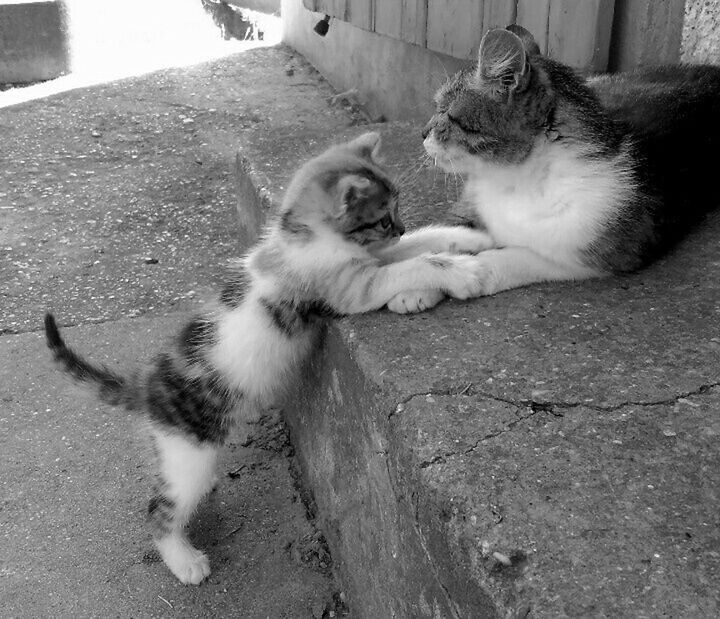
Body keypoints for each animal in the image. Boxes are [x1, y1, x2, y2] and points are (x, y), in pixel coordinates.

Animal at [45, 132, 490, 588]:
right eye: (383, 219)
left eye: (398, 211)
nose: (397, 227)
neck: (300, 236)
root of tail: (146, 381)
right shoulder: (352, 287)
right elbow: (414, 262)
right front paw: (461, 271)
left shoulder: (369, 259)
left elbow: (420, 244)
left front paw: (468, 239)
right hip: (188, 452)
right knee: (159, 510)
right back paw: (185, 560)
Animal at [390, 26, 720, 312]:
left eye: (445, 112)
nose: (422, 132)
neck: (516, 179)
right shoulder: (471, 208)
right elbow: (443, 236)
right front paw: (418, 285)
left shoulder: (585, 254)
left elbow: (506, 259)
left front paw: (462, 275)